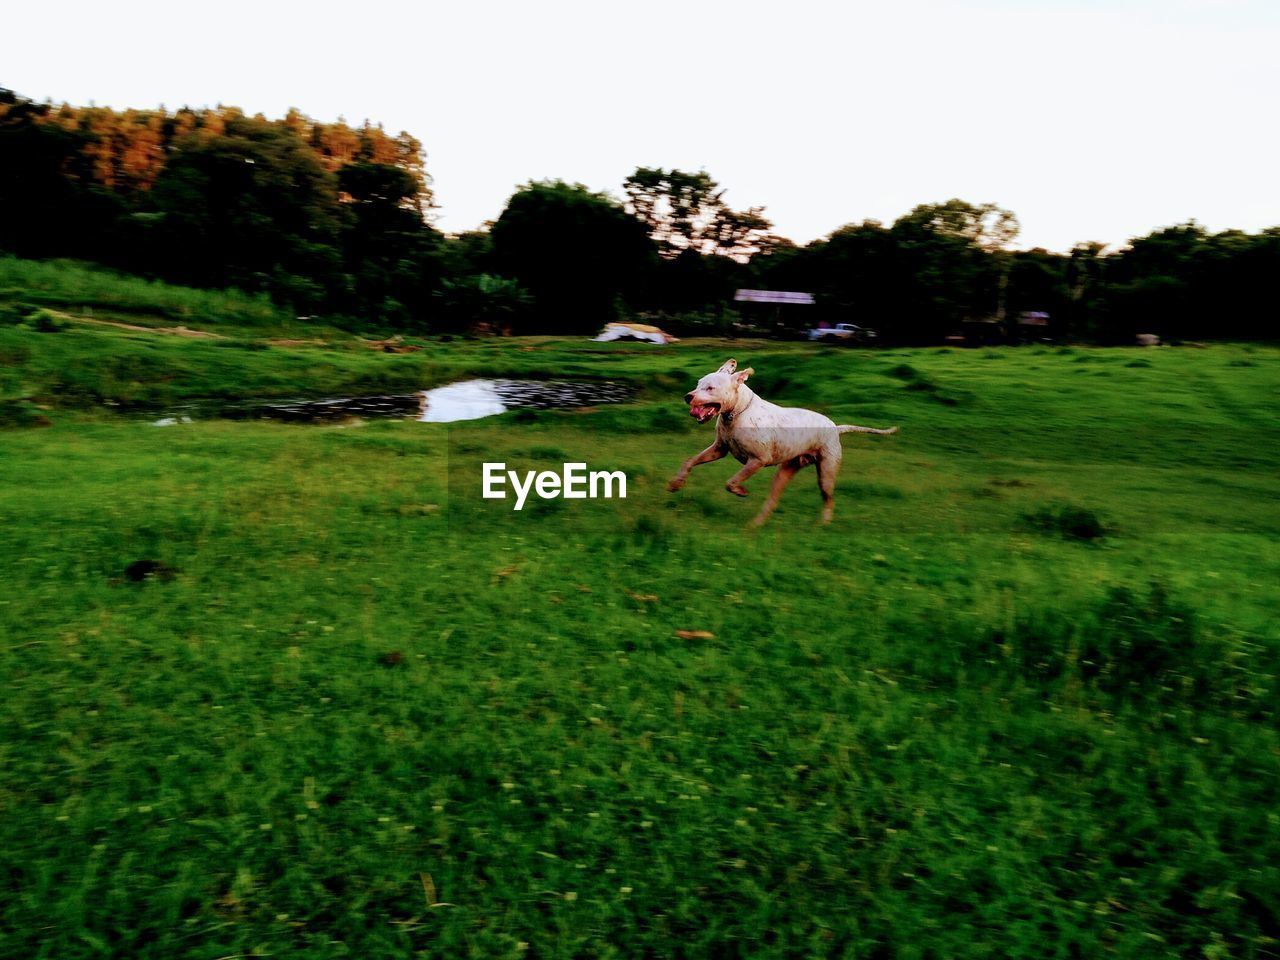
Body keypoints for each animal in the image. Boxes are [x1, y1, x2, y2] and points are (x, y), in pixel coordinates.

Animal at [670, 358, 901, 527]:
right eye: (698, 384)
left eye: (710, 388)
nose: (687, 396)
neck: (736, 413)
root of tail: (835, 427)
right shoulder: (719, 449)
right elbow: (689, 461)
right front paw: (677, 483)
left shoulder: (758, 460)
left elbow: (731, 481)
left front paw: (740, 491)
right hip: (785, 472)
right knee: (772, 501)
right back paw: (756, 525)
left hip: (826, 473)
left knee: (829, 499)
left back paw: (824, 524)